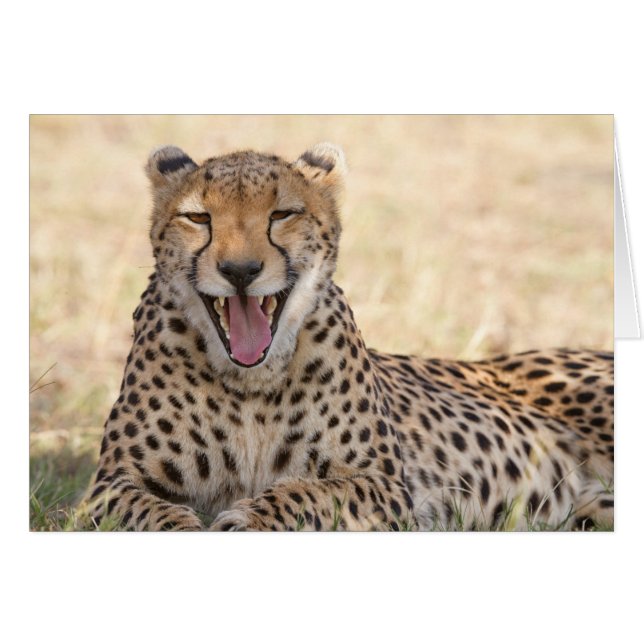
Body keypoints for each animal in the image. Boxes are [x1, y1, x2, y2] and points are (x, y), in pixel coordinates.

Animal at [80, 142, 614, 531]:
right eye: (198, 218)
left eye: (282, 214)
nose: (240, 271)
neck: (250, 383)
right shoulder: (110, 485)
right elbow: (153, 513)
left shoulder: (384, 486)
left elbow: (307, 493)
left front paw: (247, 520)